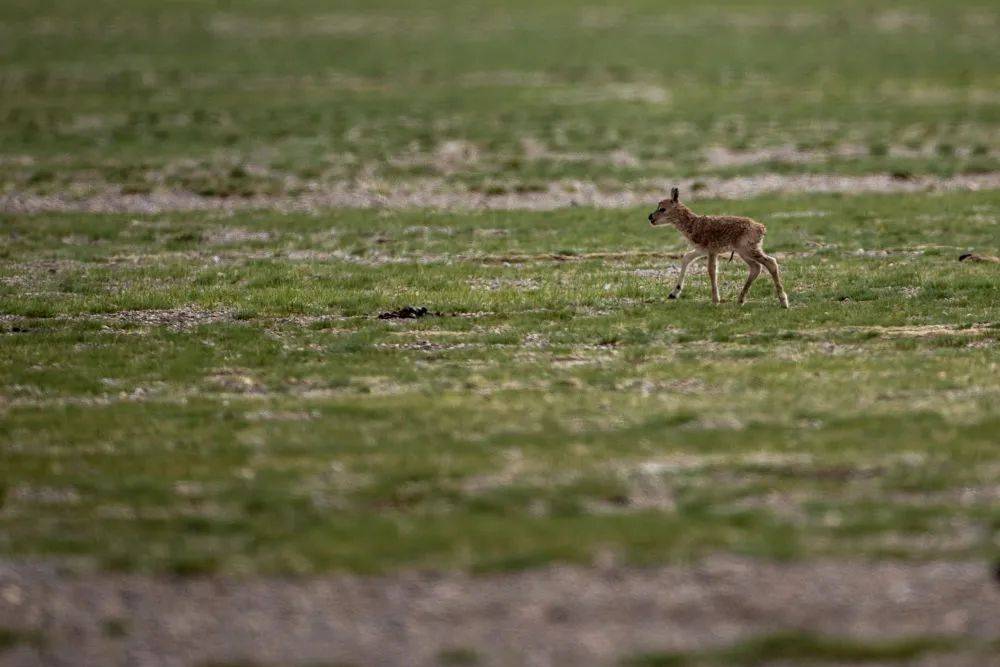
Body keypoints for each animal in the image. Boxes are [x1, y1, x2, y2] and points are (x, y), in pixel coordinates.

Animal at [648, 189, 788, 310]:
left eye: (662, 208)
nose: (650, 217)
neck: (694, 224)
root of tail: (761, 228)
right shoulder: (701, 250)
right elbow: (686, 258)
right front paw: (673, 294)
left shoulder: (712, 251)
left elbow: (711, 270)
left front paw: (715, 300)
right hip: (743, 252)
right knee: (756, 267)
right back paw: (740, 300)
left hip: (749, 250)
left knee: (771, 263)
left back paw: (783, 302)